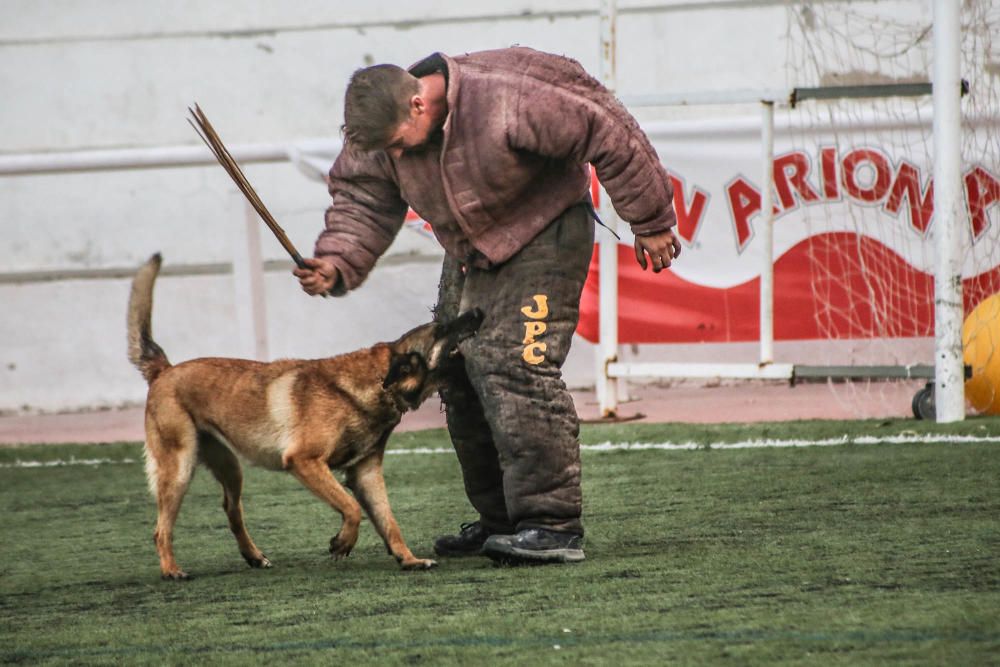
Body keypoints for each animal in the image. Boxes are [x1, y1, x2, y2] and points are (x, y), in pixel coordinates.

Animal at [127, 254, 486, 580]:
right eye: (443, 329)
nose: (479, 311)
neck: (373, 382)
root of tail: (164, 370)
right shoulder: (305, 461)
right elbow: (352, 508)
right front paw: (342, 543)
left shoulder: (366, 473)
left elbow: (388, 521)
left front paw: (408, 559)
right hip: (179, 468)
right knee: (161, 528)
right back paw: (171, 570)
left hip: (230, 468)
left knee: (231, 510)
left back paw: (254, 557)